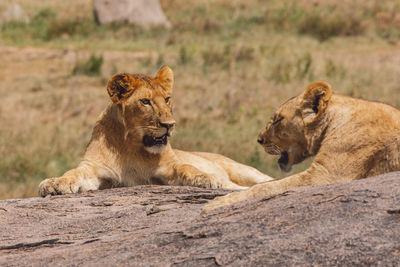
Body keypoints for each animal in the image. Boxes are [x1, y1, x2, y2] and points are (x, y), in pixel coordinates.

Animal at [39, 66, 274, 197]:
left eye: (167, 99)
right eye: (146, 102)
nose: (170, 124)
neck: (131, 146)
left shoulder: (167, 170)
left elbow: (186, 167)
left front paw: (206, 178)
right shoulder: (95, 170)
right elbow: (73, 173)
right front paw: (54, 183)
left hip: (244, 170)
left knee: (265, 179)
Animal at [202, 81, 400, 214]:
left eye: (278, 119)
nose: (259, 139)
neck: (333, 121)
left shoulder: (327, 176)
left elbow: (266, 188)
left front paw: (216, 204)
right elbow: (267, 183)